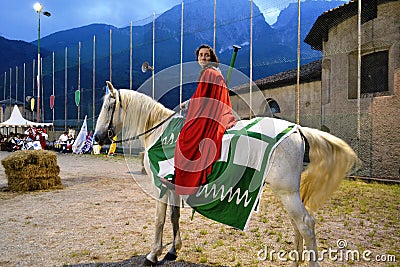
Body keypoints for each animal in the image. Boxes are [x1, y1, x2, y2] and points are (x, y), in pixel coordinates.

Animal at [94, 81, 360, 267]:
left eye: (109, 106)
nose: (97, 138)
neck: (161, 132)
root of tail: (296, 129)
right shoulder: (172, 186)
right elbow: (174, 217)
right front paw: (172, 250)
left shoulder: (161, 187)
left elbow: (159, 220)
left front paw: (152, 255)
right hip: (290, 193)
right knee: (298, 225)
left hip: (286, 192)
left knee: (305, 223)